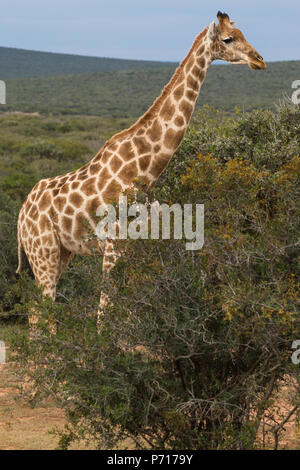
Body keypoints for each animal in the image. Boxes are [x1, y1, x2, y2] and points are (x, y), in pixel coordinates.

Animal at [15, 11, 266, 328]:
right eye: (228, 38)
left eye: (243, 33)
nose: (260, 60)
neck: (146, 171)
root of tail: (21, 214)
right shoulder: (113, 245)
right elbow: (105, 312)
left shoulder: (140, 244)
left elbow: (133, 310)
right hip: (42, 252)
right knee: (42, 313)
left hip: (61, 253)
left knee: (37, 313)